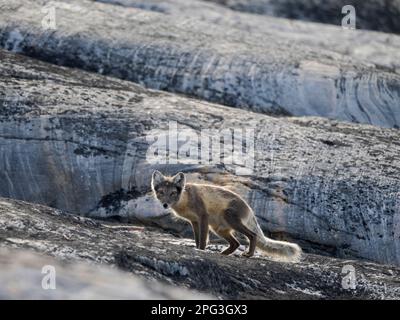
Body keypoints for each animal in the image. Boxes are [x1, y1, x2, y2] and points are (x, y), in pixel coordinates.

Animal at [152, 171, 302, 262]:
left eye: (172, 193)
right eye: (161, 192)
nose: (165, 205)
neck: (185, 199)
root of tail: (249, 208)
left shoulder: (203, 216)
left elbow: (203, 240)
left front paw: (201, 251)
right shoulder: (194, 221)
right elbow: (197, 239)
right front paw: (197, 249)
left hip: (229, 218)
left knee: (252, 235)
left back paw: (248, 254)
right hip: (219, 229)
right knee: (236, 243)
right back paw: (223, 254)